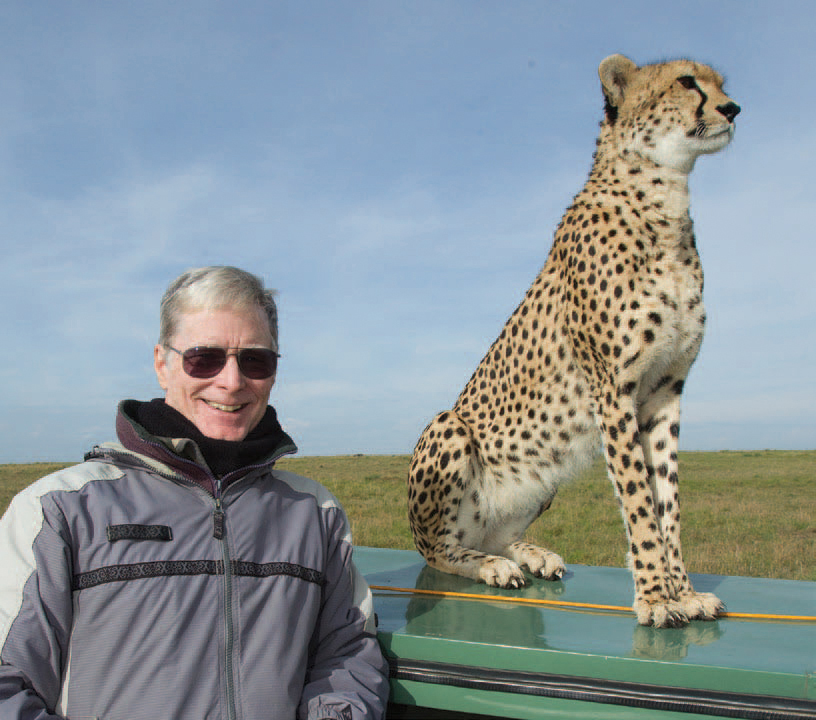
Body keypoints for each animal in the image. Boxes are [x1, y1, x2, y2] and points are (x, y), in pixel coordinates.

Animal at [408, 53, 740, 628]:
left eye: (720, 83)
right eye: (685, 82)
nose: (732, 108)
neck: (664, 200)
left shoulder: (665, 391)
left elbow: (667, 499)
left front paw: (684, 591)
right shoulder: (614, 390)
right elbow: (639, 500)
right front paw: (656, 597)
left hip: (544, 477)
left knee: (495, 534)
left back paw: (528, 554)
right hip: (450, 429)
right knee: (440, 551)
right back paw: (490, 567)